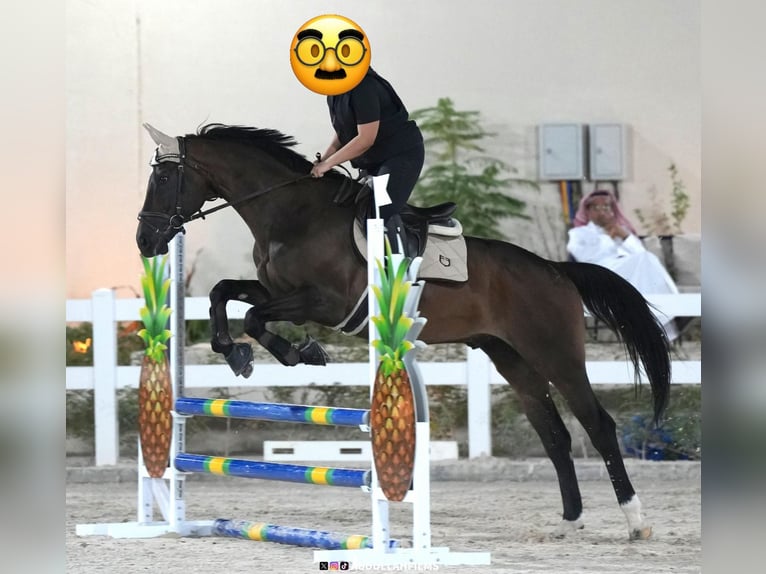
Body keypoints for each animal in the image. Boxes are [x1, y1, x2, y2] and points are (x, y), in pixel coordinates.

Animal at [136, 122, 671, 541]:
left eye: (163, 177)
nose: (145, 241)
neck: (290, 214)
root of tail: (556, 270)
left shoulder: (324, 303)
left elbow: (253, 316)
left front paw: (296, 353)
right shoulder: (274, 289)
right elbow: (223, 294)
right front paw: (238, 354)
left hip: (555, 353)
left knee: (597, 426)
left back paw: (636, 522)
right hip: (509, 355)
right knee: (555, 434)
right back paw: (570, 520)